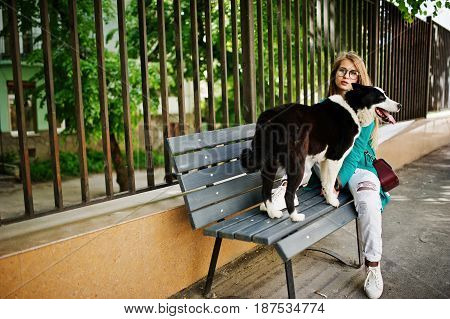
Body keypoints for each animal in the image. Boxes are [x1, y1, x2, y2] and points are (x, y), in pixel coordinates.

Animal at [239, 82, 400, 222]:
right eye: (381, 97)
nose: (400, 105)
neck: (353, 106)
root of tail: (269, 118)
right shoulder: (336, 158)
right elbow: (331, 182)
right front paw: (333, 201)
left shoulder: (324, 160)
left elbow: (325, 182)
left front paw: (328, 198)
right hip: (298, 164)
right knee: (288, 193)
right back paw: (295, 217)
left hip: (270, 163)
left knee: (266, 191)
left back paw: (272, 213)